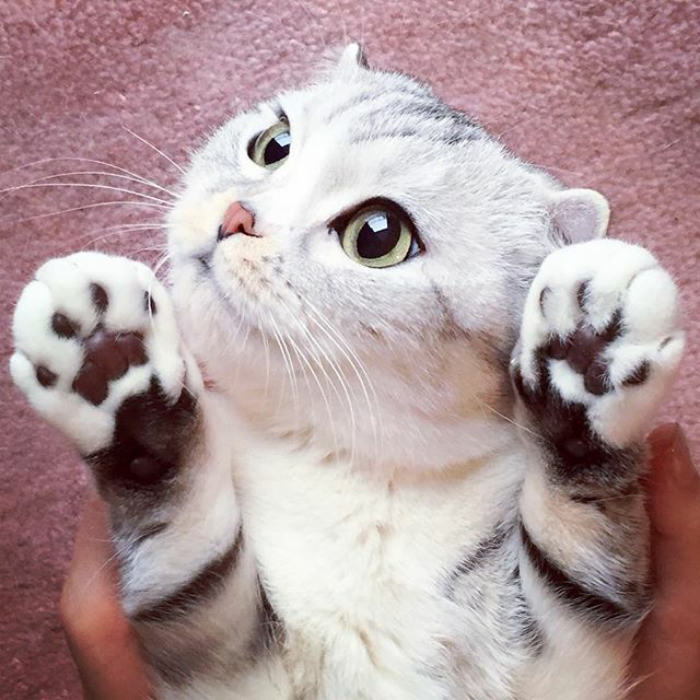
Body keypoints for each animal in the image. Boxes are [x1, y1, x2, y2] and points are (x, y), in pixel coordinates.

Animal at [9, 45, 684, 700]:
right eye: (273, 144)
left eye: (378, 235)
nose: (235, 216)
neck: (346, 466)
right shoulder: (225, 663)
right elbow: (182, 528)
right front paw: (112, 369)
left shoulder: (565, 665)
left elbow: (576, 543)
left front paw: (587, 355)